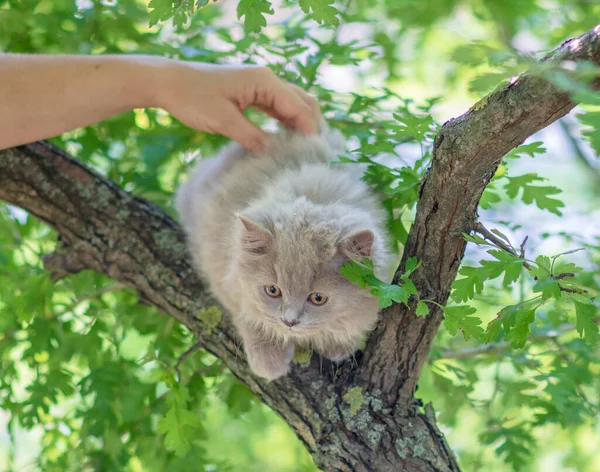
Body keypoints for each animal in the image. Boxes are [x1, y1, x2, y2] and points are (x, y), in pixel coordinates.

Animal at [176, 125, 394, 380]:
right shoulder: (219, 265)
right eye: (273, 290)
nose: (290, 321)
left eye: (318, 298)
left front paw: (338, 346)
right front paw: (269, 359)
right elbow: (249, 316)